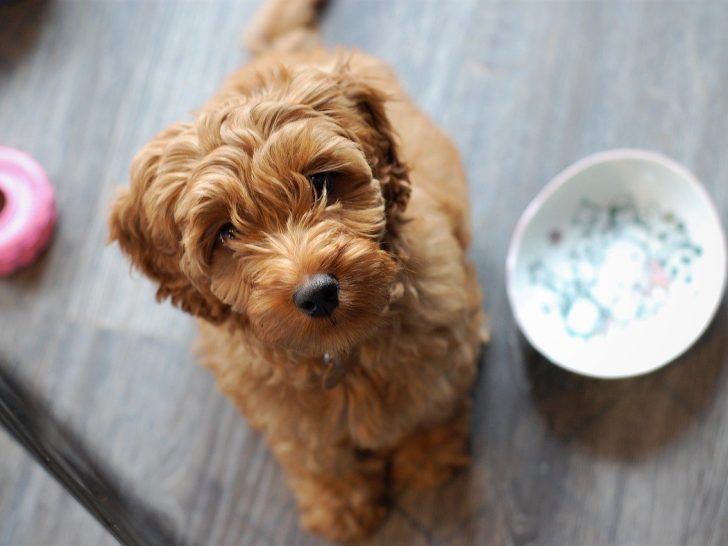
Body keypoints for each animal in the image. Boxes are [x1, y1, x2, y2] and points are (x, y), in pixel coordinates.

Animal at [109, 0, 484, 536]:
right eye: (225, 232)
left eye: (321, 182)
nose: (317, 292)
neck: (341, 355)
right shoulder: (279, 408)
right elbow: (314, 451)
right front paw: (341, 505)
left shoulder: (442, 341)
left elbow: (429, 404)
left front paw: (427, 457)